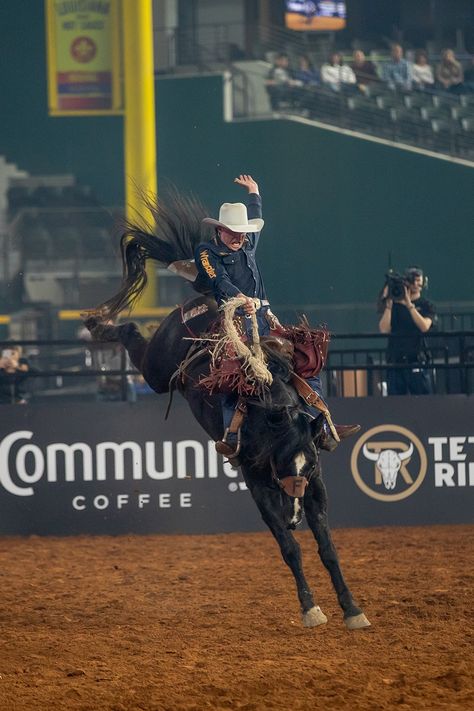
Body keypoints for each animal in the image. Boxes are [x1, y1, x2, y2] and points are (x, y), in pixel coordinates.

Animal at [84, 192, 370, 632]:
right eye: (282, 462)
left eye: (306, 464)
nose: (294, 515)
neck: (272, 416)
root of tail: (200, 300)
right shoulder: (256, 481)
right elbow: (290, 548)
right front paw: (310, 608)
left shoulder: (316, 483)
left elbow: (327, 548)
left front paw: (352, 608)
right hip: (156, 370)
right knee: (133, 335)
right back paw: (98, 323)